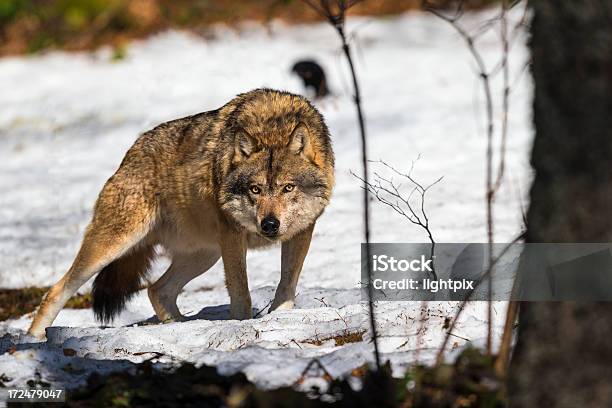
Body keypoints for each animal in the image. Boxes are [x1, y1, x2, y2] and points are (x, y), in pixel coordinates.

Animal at [27, 88, 334, 338]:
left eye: (287, 187)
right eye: (255, 189)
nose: (269, 224)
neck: (271, 124)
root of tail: (129, 154)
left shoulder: (302, 231)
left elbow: (287, 283)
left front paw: (280, 319)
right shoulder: (233, 237)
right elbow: (241, 293)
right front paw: (242, 325)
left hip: (205, 254)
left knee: (156, 290)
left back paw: (180, 328)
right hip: (116, 244)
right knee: (56, 291)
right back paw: (35, 340)